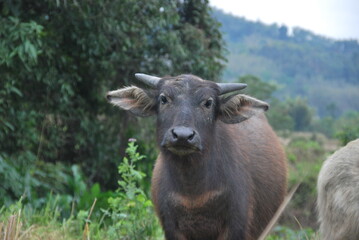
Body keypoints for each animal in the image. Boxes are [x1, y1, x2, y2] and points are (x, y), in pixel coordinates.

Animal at [106, 74, 286, 239]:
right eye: (163, 98)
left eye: (208, 102)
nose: (182, 136)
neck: (193, 191)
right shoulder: (170, 226)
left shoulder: (237, 225)